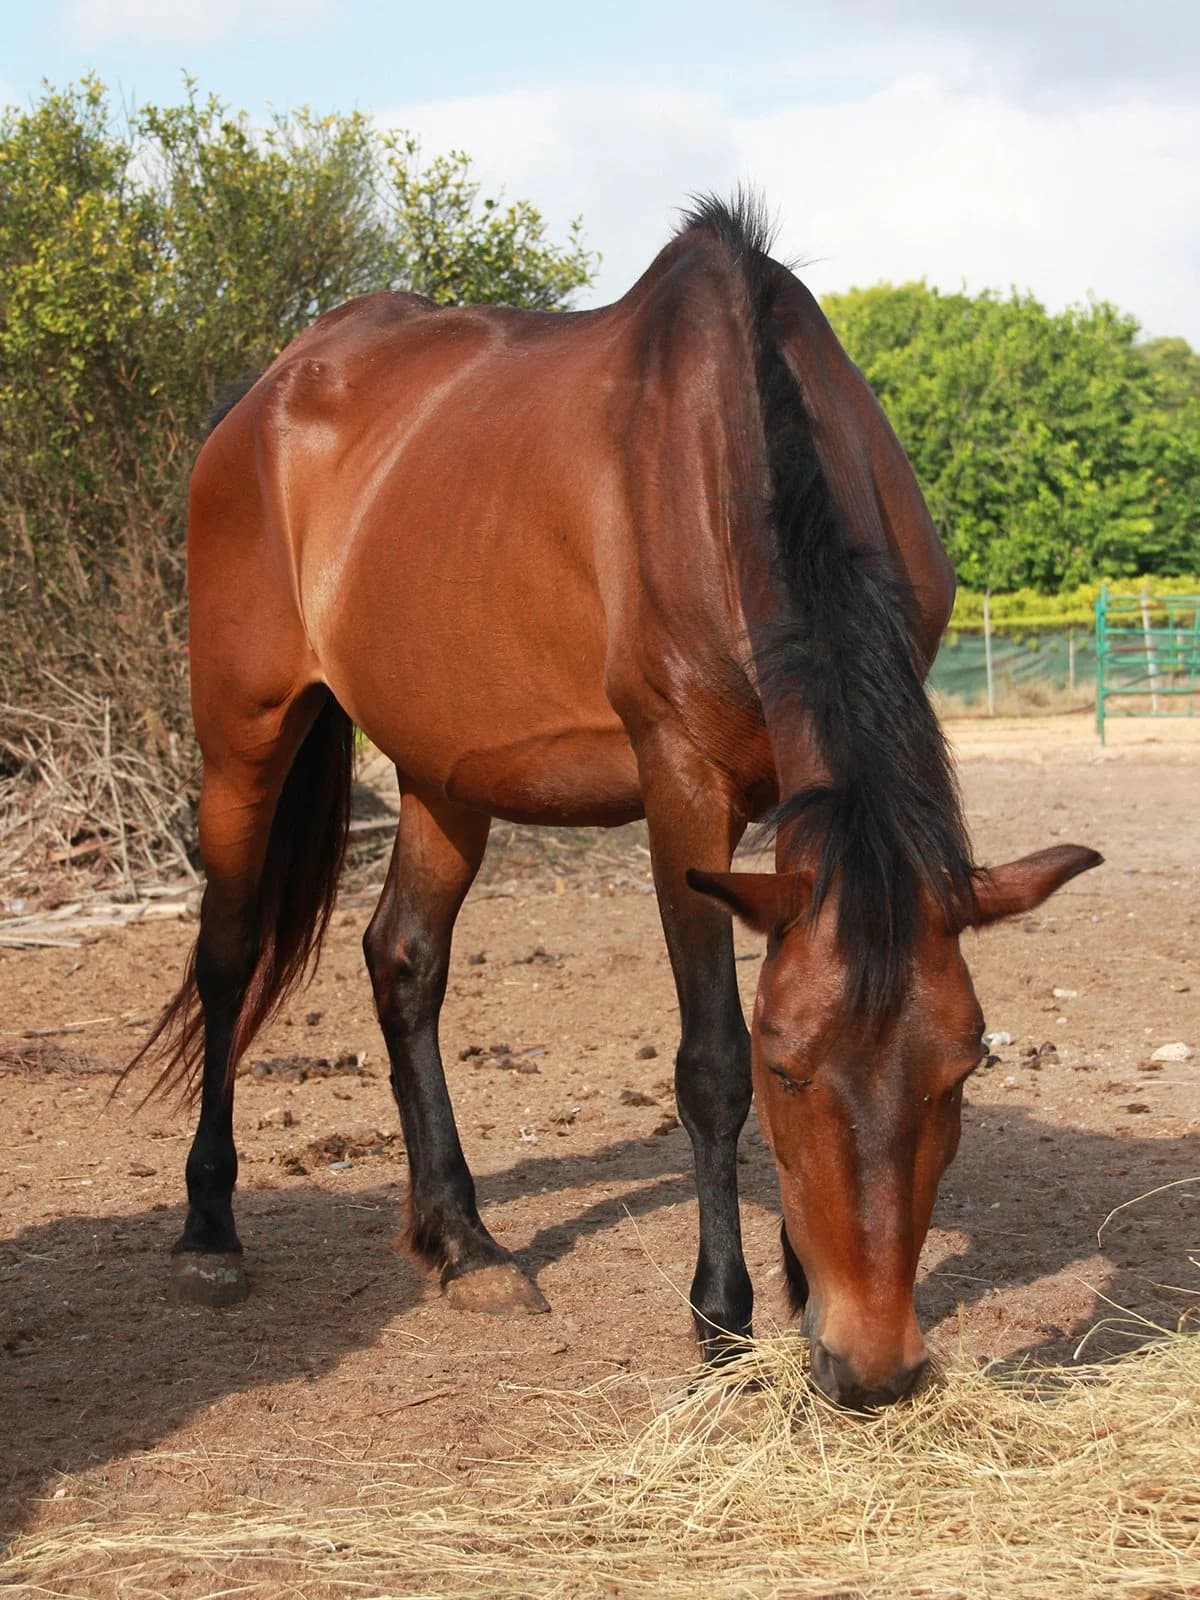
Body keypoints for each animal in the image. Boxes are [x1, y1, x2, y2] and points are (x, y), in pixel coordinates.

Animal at [131, 194, 1101, 1410]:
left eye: (963, 1067)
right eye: (790, 1071)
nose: (873, 1369)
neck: (727, 462)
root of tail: (267, 393)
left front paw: (796, 1291)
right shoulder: (682, 788)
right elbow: (708, 1058)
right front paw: (724, 1314)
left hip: (444, 773)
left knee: (403, 961)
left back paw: (465, 1245)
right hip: (244, 733)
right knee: (225, 954)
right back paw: (209, 1228)